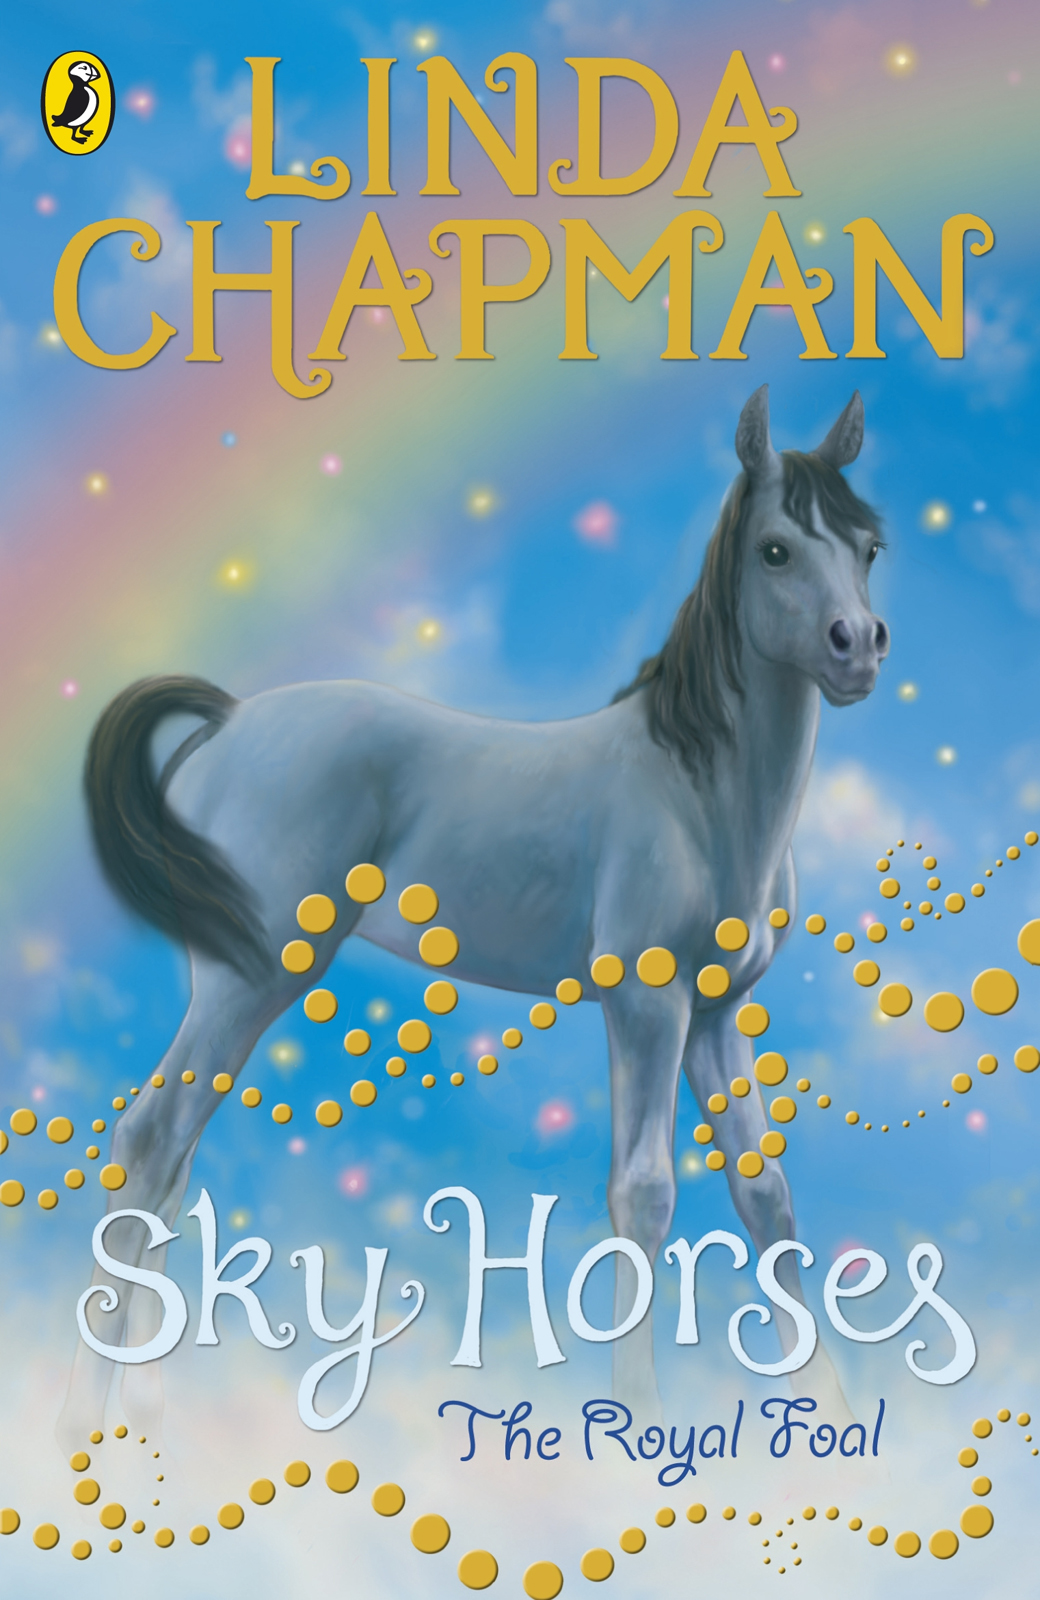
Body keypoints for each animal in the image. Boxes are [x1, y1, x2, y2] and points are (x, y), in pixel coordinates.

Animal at [58, 385, 888, 1446]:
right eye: (777, 549)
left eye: (868, 547)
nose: (858, 648)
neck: (701, 794)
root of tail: (232, 720)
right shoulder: (647, 1007)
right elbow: (645, 1193)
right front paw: (635, 1426)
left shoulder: (715, 1015)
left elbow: (765, 1195)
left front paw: (837, 1427)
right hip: (252, 980)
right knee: (148, 1142)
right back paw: (79, 1433)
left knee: (175, 1159)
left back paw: (145, 1423)